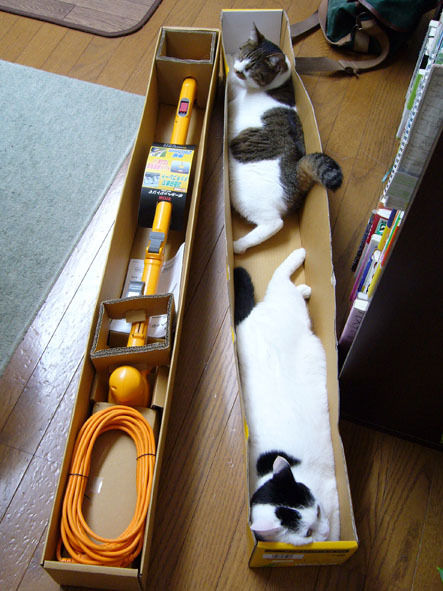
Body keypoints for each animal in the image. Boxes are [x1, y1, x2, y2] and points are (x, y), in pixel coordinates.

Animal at [228, 25, 342, 254]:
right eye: (242, 56)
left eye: (251, 68)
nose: (237, 70)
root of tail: (297, 173)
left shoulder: (233, 98)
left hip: (246, 197)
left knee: (274, 224)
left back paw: (237, 246)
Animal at [234, 248, 340, 545]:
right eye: (306, 533)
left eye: (318, 510)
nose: (323, 532)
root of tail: (246, 319)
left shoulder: (331, 493)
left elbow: (339, 524)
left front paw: (334, 538)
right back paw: (304, 287)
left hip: (286, 303)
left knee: (280, 278)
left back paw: (299, 257)